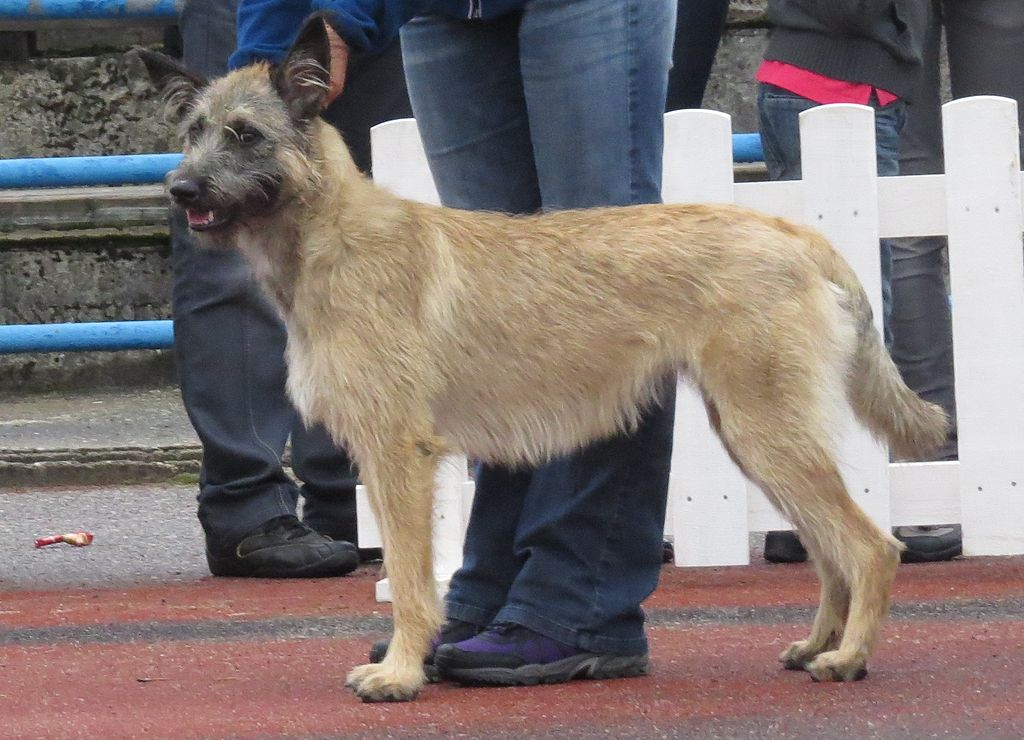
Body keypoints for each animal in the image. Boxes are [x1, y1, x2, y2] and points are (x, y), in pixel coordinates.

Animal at [134, 14, 942, 704]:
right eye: (193, 131)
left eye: (245, 135)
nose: (178, 188)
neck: (329, 237)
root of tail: (796, 234)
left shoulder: (397, 455)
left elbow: (410, 578)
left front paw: (401, 673)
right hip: (758, 438)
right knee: (831, 550)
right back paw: (817, 645)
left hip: (768, 433)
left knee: (870, 547)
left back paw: (849, 657)